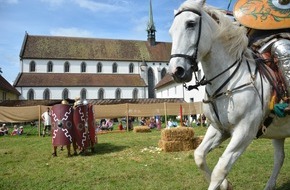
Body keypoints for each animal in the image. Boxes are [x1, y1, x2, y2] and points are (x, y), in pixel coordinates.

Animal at [168, 0, 290, 190]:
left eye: (191, 24)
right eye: (171, 31)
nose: (176, 71)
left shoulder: (244, 132)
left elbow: (221, 169)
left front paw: (222, 182)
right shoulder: (219, 129)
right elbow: (199, 156)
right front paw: (226, 184)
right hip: (279, 130)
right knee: (279, 158)